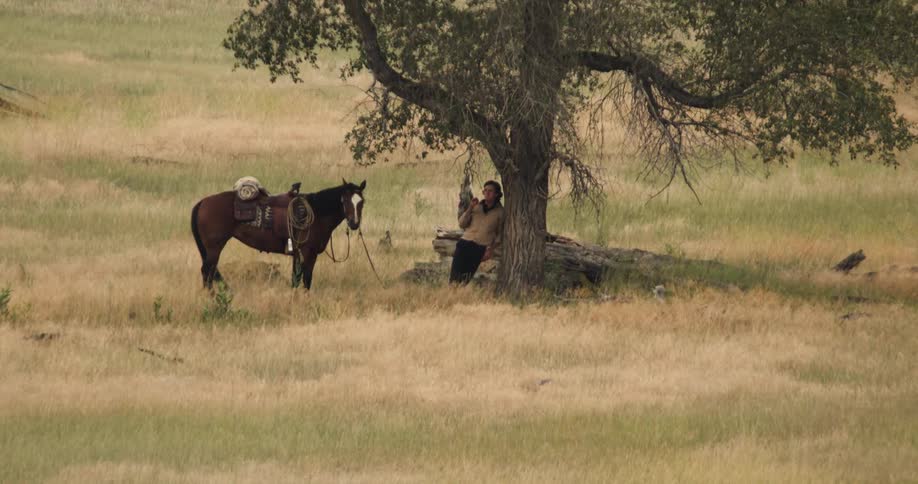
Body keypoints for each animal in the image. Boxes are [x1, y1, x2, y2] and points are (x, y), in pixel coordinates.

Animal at [190, 179, 365, 290]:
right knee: (207, 272)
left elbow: (297, 279)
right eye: (344, 200)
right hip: (214, 248)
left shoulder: (299, 254)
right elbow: (305, 279)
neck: (316, 212)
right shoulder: (307, 253)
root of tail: (202, 203)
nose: (354, 223)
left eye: (361, 202)